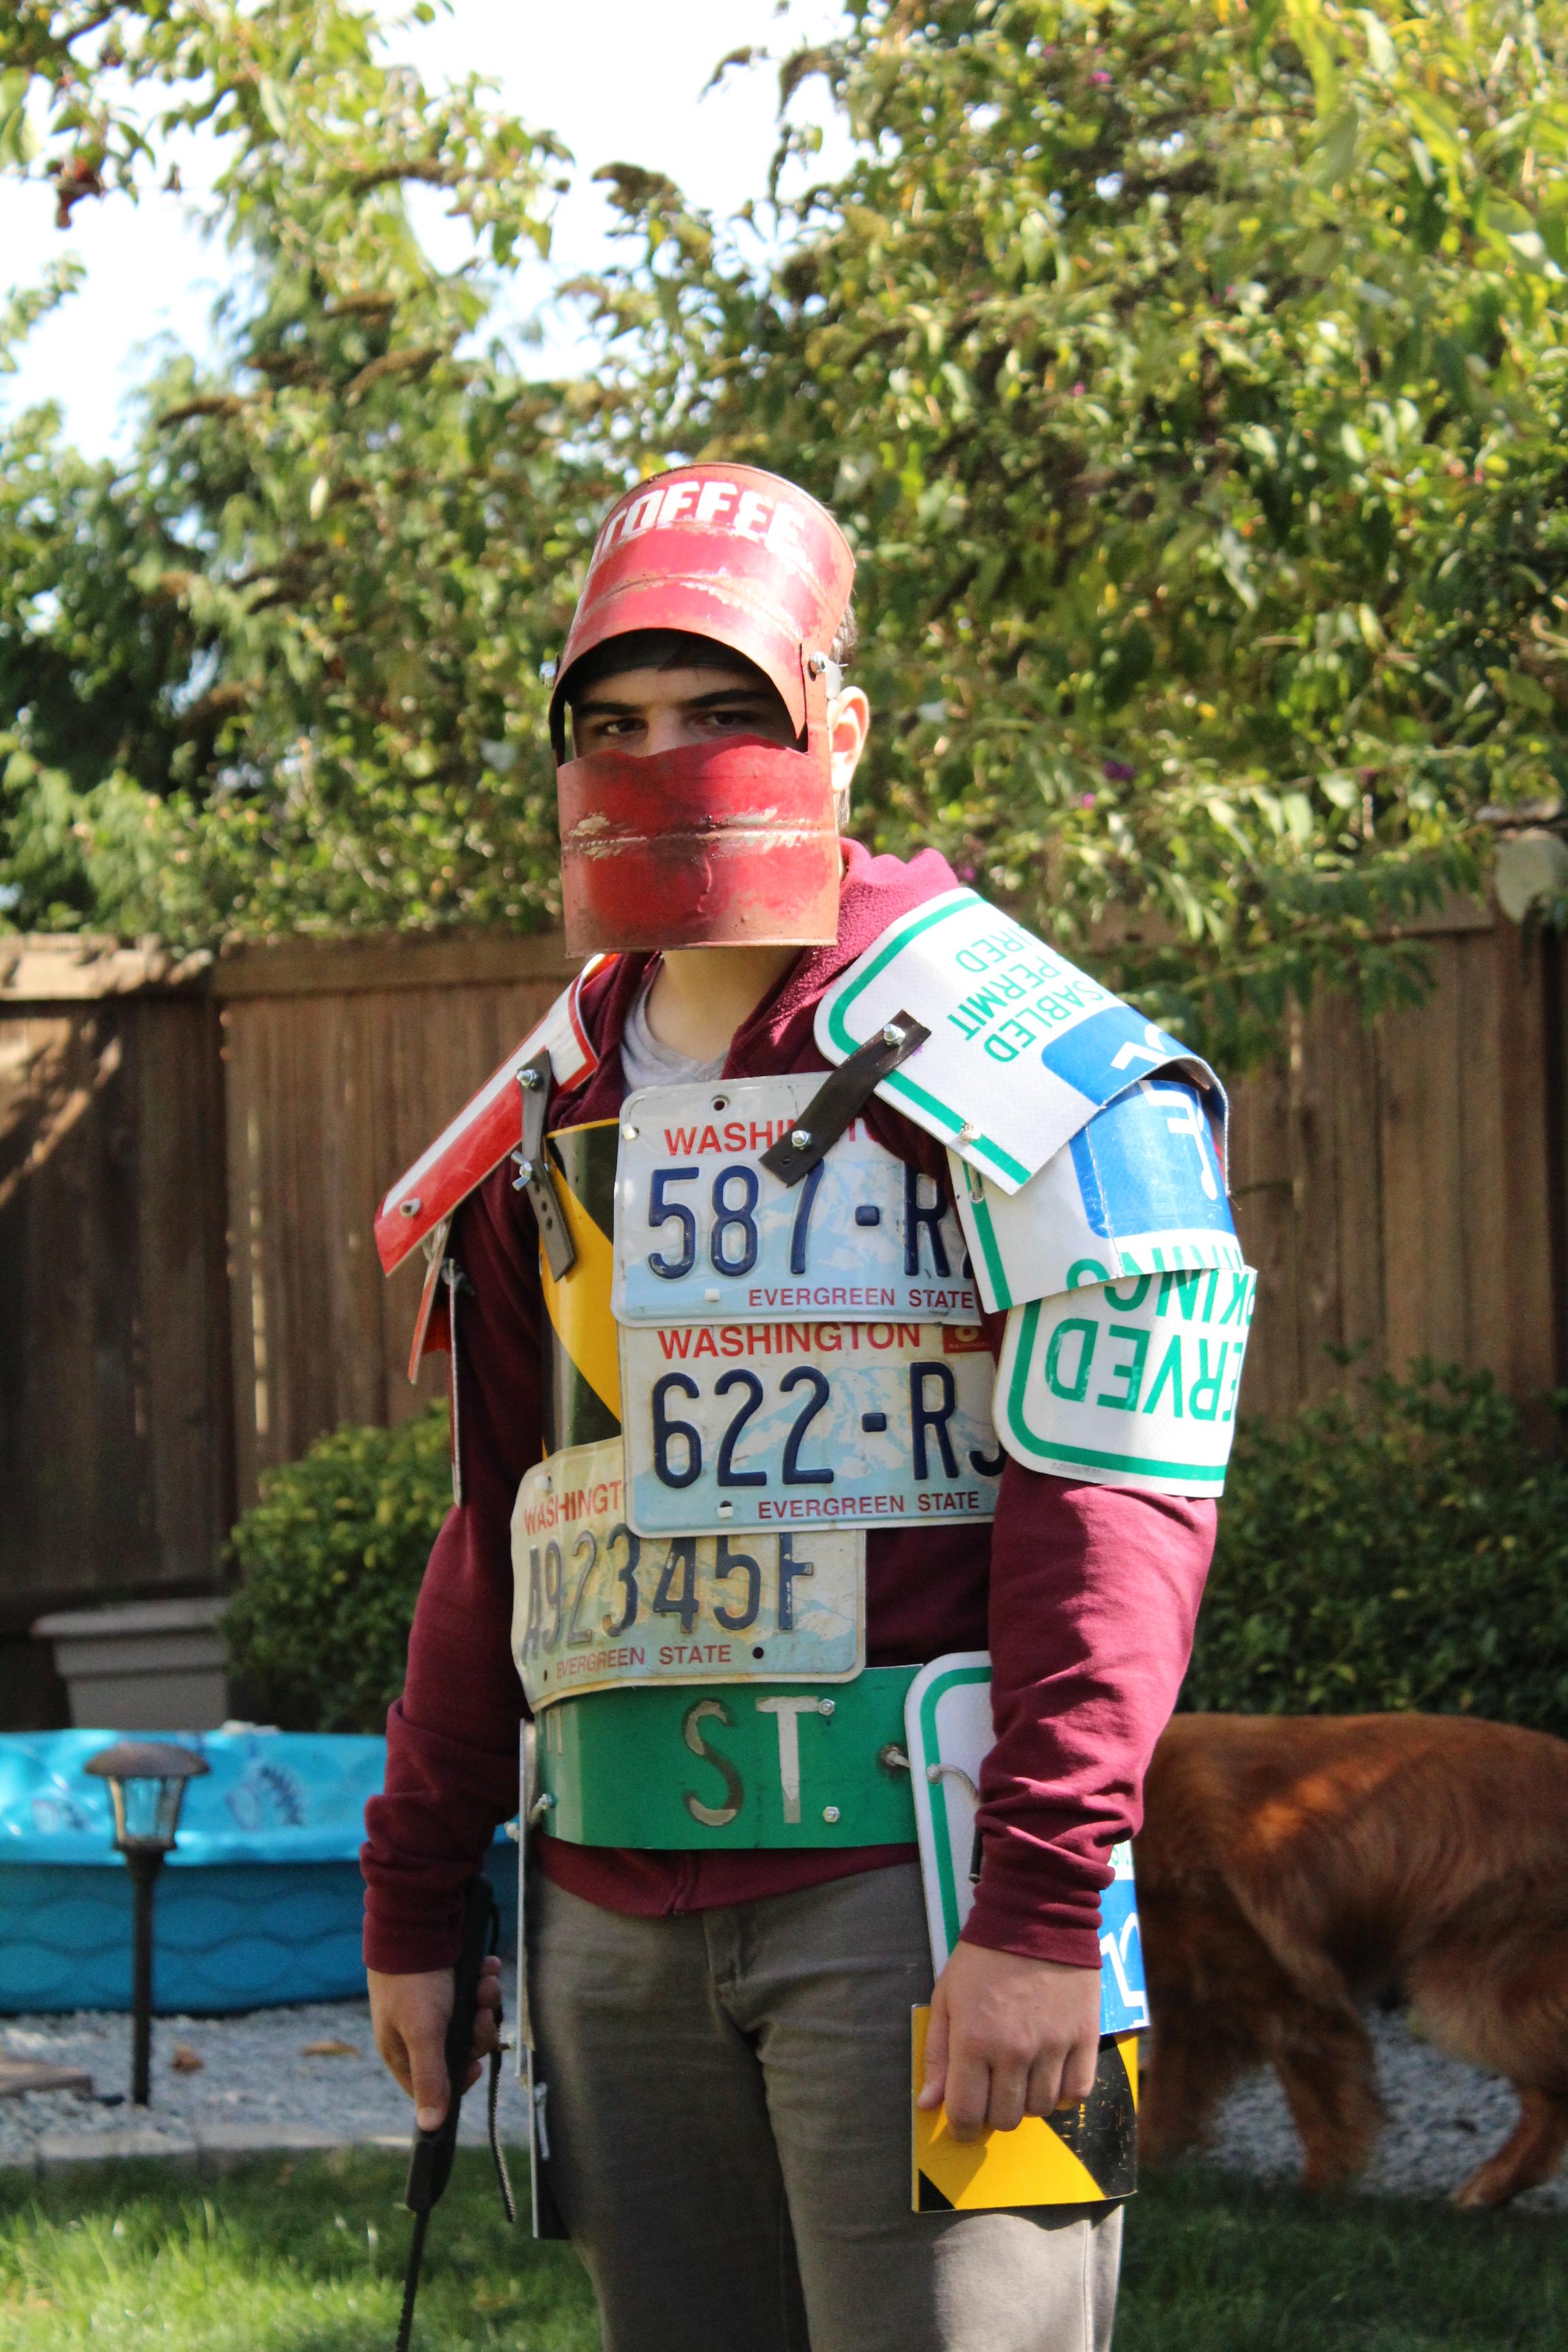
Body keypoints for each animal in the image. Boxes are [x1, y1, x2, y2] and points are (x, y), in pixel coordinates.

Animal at [1132, 1712, 1568, 2201]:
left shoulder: (1280, 1989)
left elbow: (1319, 2101)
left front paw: (1317, 2193)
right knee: (1548, 2096)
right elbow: (1164, 2099)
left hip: (1474, 1989)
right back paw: (1492, 2188)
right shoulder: (1192, 2002)